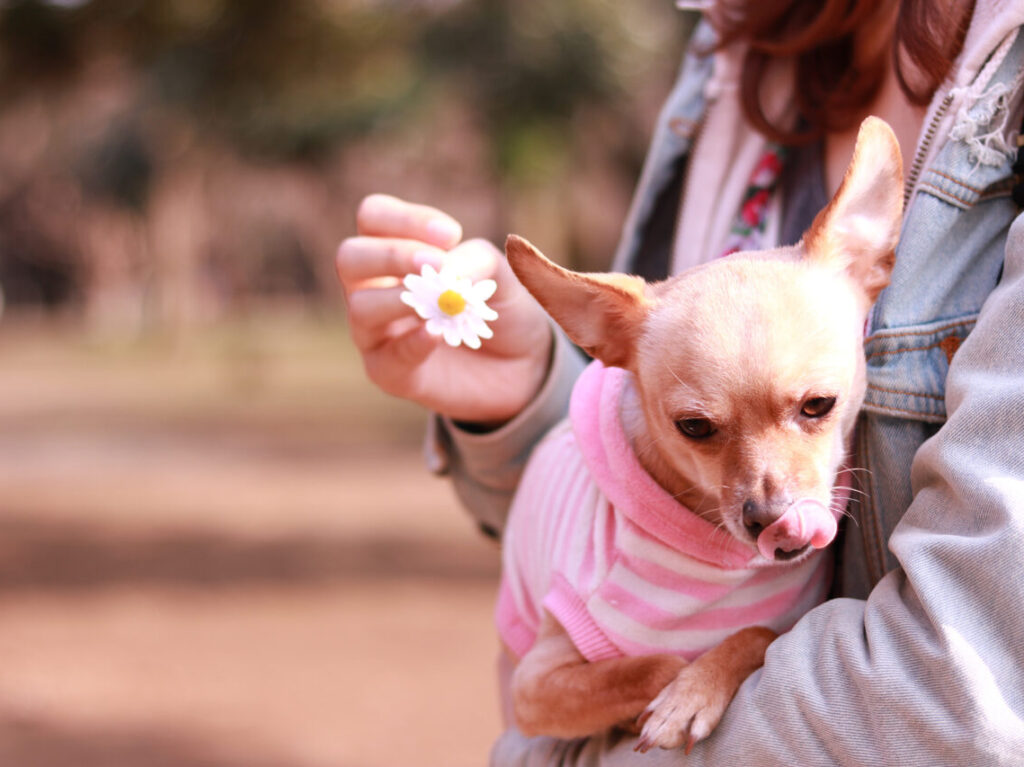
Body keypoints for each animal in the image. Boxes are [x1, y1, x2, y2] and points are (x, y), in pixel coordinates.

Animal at [495, 116, 905, 749]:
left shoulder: (784, 623)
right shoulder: (536, 686)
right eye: (693, 427)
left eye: (819, 406)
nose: (771, 521)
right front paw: (679, 693)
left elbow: (758, 633)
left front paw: (697, 687)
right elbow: (652, 664)